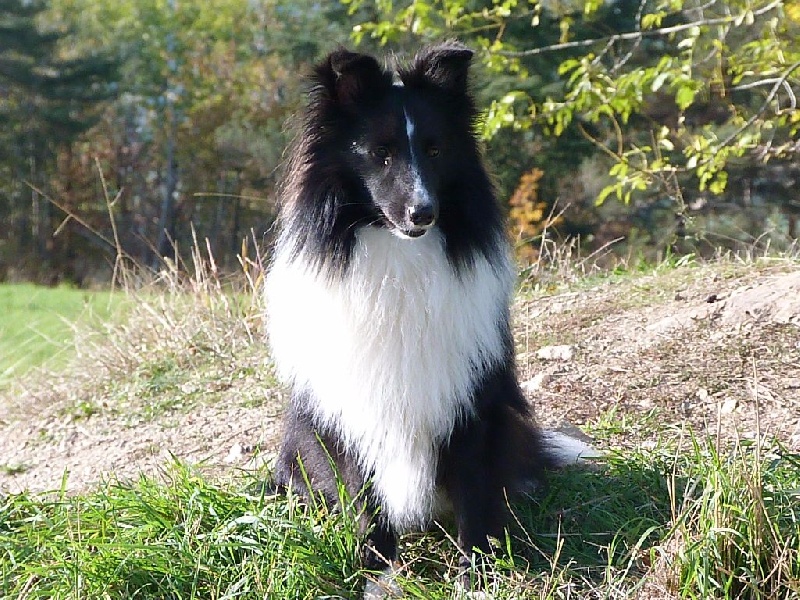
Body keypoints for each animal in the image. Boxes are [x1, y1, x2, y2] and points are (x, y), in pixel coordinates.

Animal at [264, 41, 592, 597]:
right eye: (380, 154)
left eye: (436, 151)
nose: (423, 213)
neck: (400, 259)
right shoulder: (355, 409)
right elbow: (367, 497)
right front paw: (375, 573)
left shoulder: (467, 400)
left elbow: (473, 494)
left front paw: (476, 572)